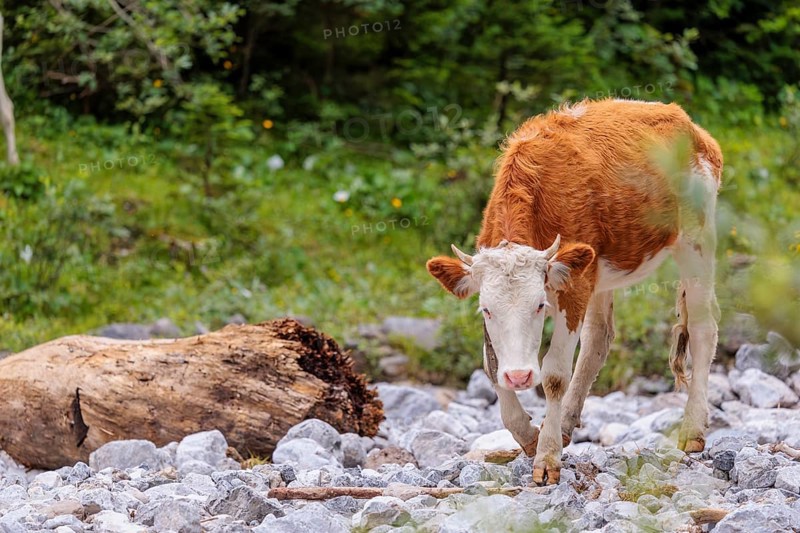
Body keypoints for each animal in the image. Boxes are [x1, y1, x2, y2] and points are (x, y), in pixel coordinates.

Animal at [426, 99, 722, 485]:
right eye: (486, 310)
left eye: (540, 305)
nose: (519, 376)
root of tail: (682, 118)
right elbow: (492, 368)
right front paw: (530, 436)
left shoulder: (573, 288)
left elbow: (554, 375)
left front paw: (547, 456)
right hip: (598, 271)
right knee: (599, 338)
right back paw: (566, 423)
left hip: (696, 239)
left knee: (703, 329)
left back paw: (692, 430)